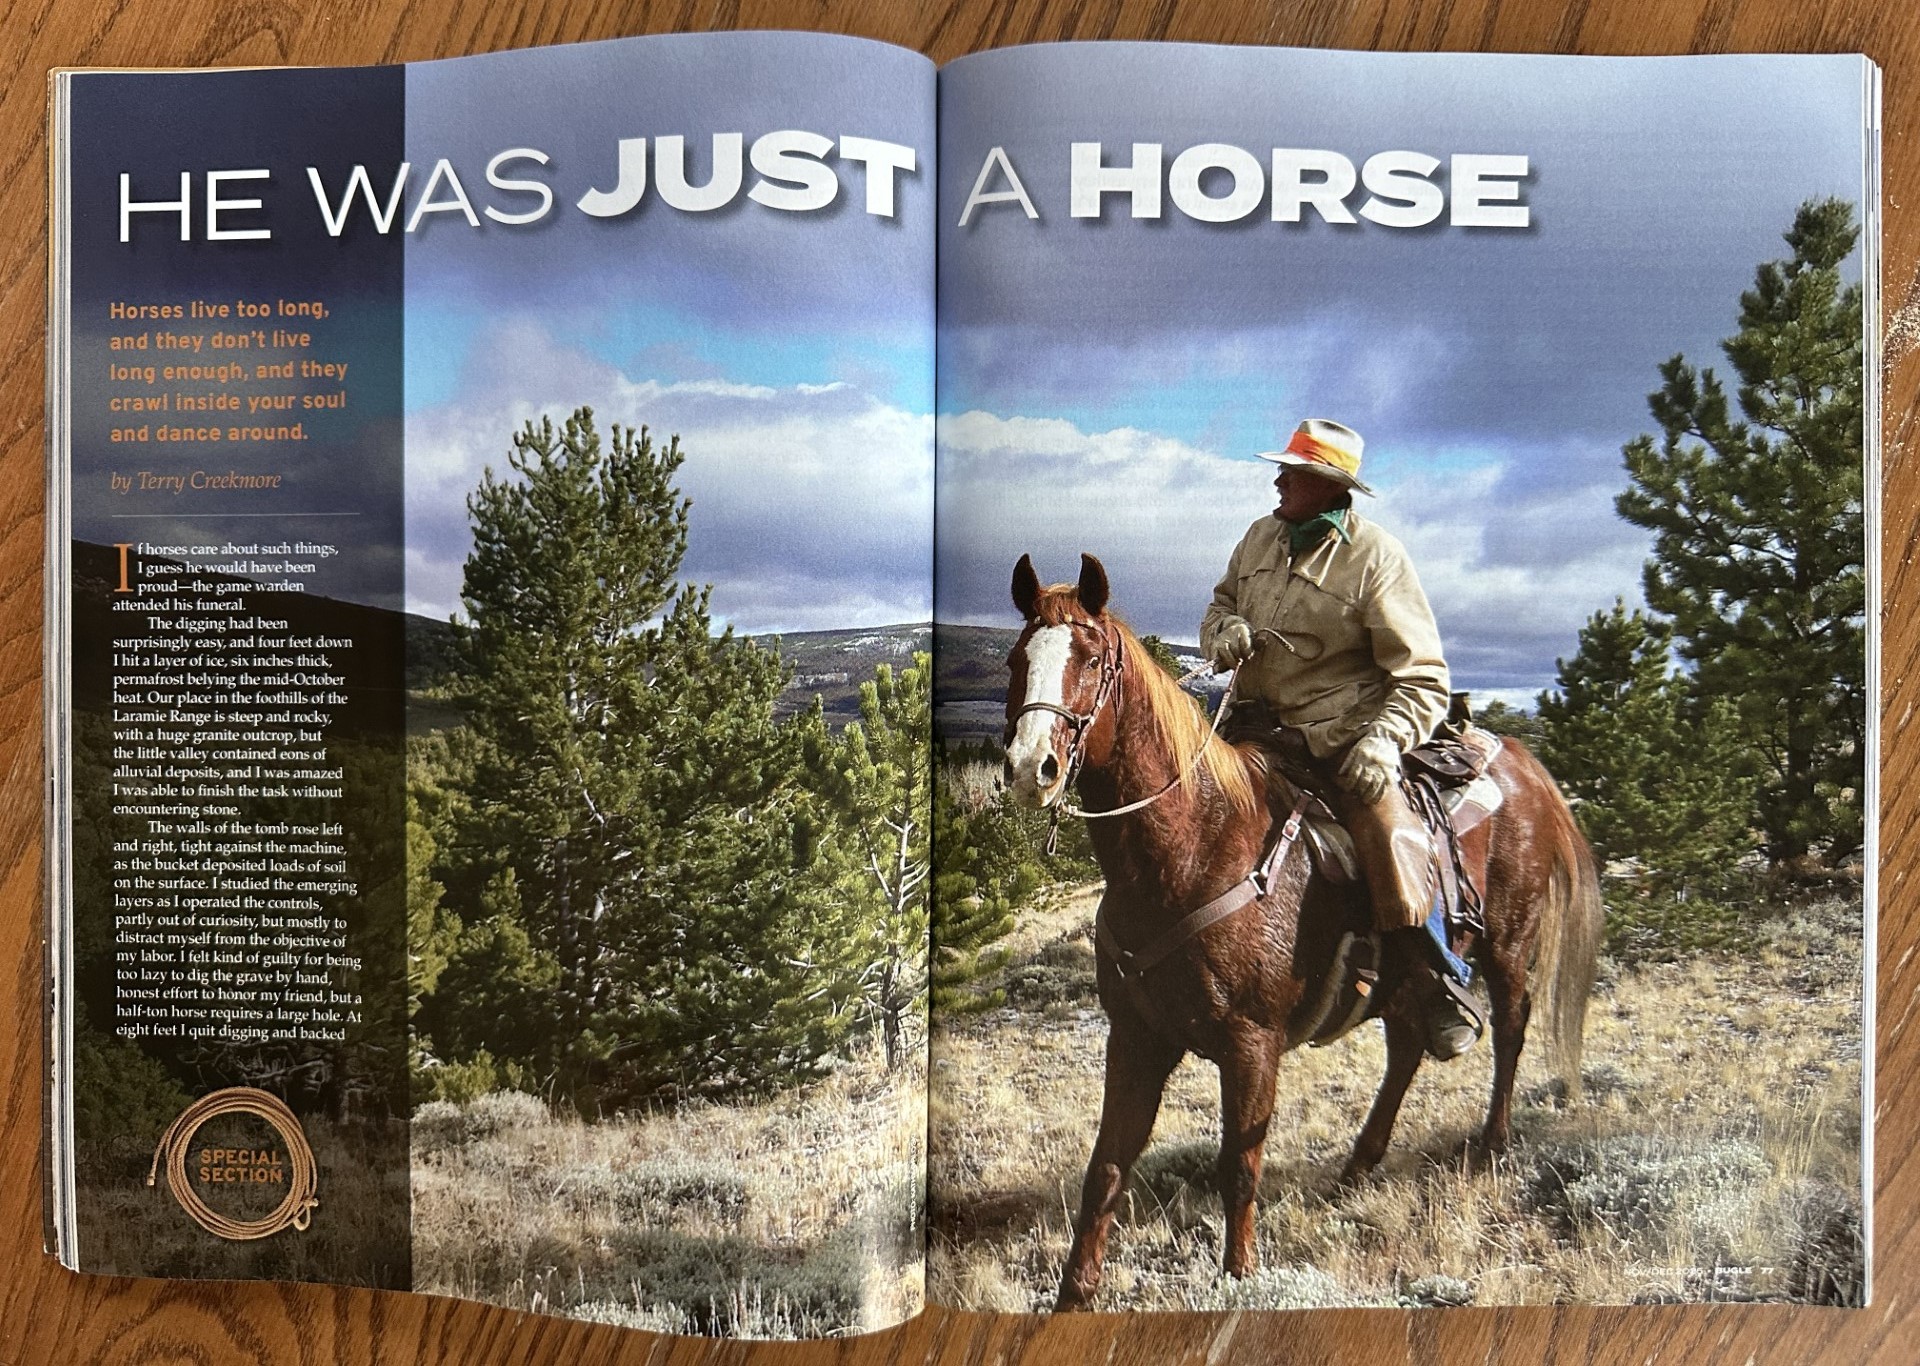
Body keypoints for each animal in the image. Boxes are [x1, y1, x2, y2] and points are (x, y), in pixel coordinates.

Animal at [1001, 553, 1603, 1312]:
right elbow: (1107, 1165)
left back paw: (1490, 1146)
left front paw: (1239, 1277)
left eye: (1089, 658)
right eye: (1016, 659)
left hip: (1507, 946)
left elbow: (1239, 1165)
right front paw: (1074, 1295)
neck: (1194, 849)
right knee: (1406, 1048)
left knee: (1512, 1028)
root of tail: (1523, 762)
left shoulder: (1252, 1044)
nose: (1031, 768)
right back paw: (1357, 1168)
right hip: (1402, 981)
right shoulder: (1136, 1037)